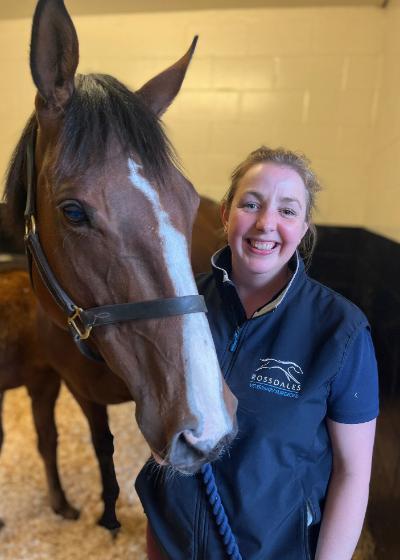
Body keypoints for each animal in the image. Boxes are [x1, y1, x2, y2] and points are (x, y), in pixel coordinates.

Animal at [0, 0, 238, 532]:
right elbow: (100, 445)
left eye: (187, 200)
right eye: (73, 212)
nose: (207, 426)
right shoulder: (78, 390)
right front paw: (108, 514)